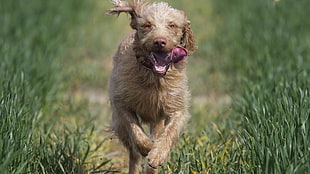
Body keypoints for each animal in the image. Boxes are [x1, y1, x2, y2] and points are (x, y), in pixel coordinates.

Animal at [105, 0, 195, 173]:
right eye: (147, 25)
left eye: (172, 25)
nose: (159, 41)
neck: (154, 77)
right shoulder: (121, 104)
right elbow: (134, 129)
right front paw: (147, 147)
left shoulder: (177, 108)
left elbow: (170, 131)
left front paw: (157, 155)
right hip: (120, 127)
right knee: (133, 154)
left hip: (157, 120)